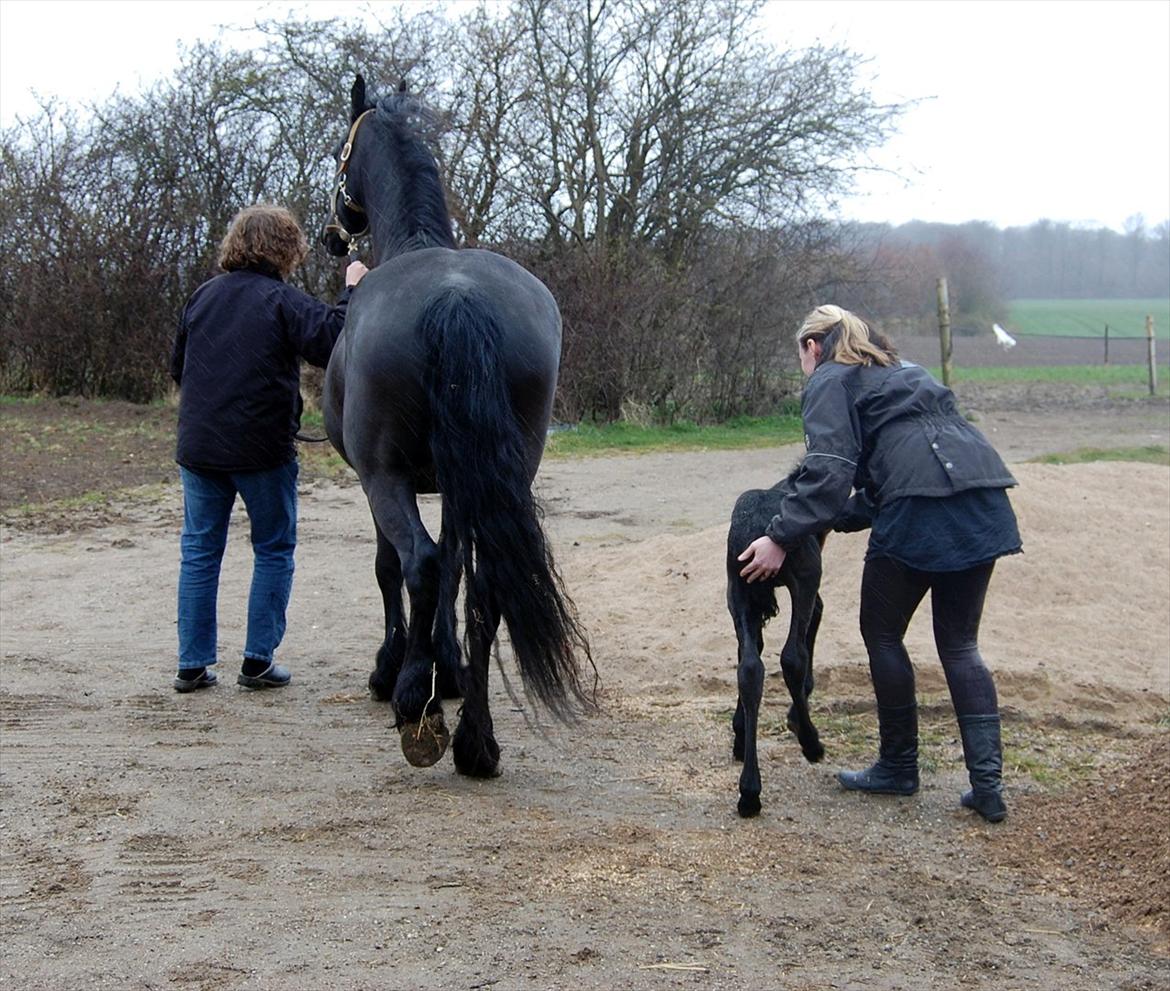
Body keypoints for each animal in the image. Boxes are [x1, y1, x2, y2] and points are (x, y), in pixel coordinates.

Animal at [320, 77, 594, 776]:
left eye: (340, 153)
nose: (335, 236)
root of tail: (456, 295)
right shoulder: (454, 480)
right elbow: (454, 569)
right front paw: (451, 668)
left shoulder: (380, 481)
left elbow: (397, 568)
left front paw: (401, 671)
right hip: (502, 473)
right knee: (486, 581)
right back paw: (476, 741)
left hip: (384, 478)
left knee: (417, 562)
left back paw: (414, 706)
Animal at [725, 472, 828, 823]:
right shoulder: (810, 588)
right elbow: (811, 628)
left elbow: (749, 653)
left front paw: (739, 734)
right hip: (804, 578)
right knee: (791, 658)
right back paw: (811, 743)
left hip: (737, 589)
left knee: (750, 668)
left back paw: (749, 792)